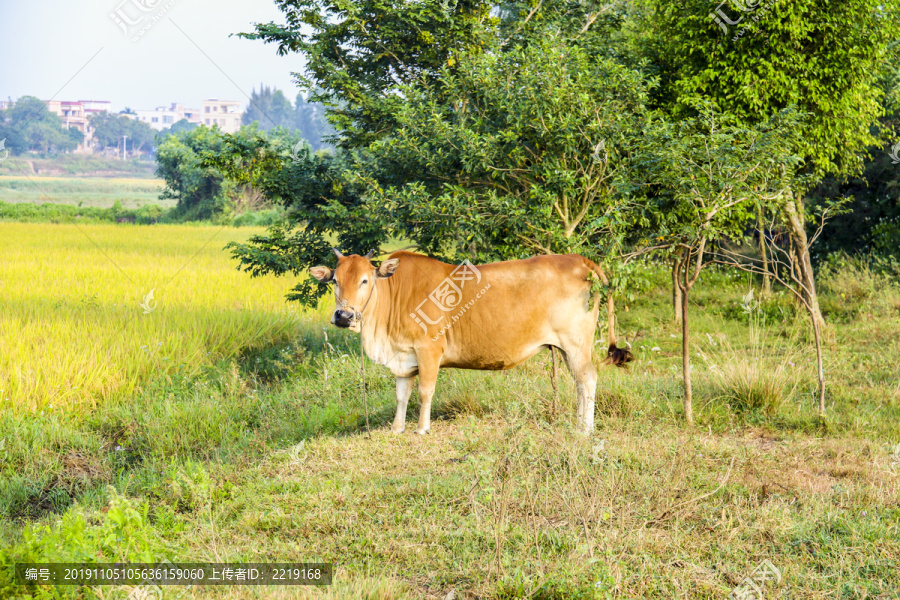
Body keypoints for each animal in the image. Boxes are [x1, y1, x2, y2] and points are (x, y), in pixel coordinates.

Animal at [308, 250, 624, 436]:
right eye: (334, 281)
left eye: (364, 280)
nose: (344, 315)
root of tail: (579, 259)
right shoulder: (404, 358)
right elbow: (401, 395)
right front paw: (397, 428)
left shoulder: (428, 351)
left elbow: (424, 392)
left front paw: (421, 429)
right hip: (567, 348)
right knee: (580, 383)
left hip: (576, 344)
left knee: (588, 379)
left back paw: (585, 429)